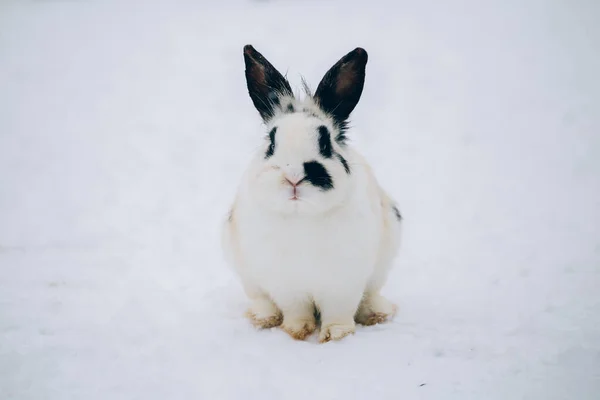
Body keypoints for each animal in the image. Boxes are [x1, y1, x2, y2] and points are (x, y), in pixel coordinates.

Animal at [221, 44, 404, 344]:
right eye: (271, 143)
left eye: (325, 142)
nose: (294, 176)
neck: (301, 216)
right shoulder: (285, 283)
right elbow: (296, 310)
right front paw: (297, 331)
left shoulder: (343, 282)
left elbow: (339, 311)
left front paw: (337, 335)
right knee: (261, 299)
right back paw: (263, 318)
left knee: (371, 295)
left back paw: (378, 313)